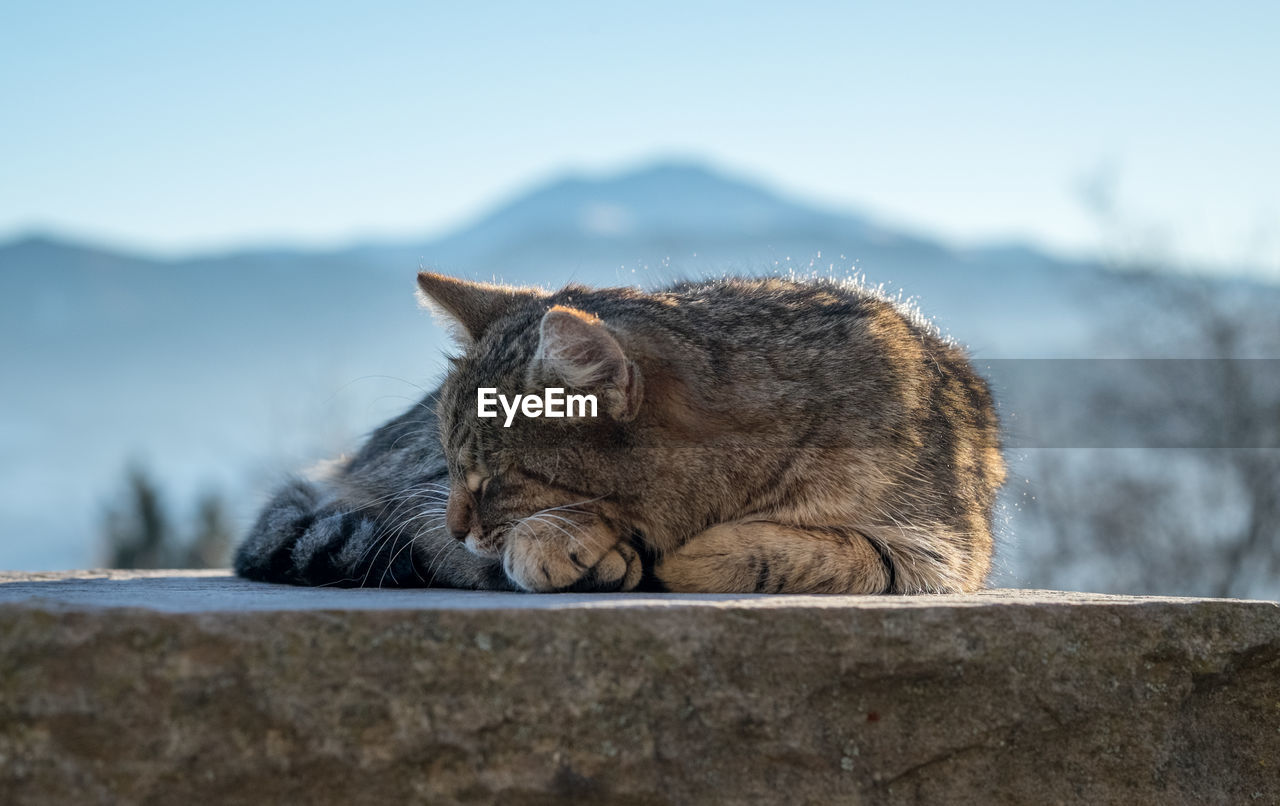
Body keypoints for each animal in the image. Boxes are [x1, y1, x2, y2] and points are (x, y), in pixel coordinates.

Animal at [235, 271, 1003, 593]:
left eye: (495, 479)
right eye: (455, 466)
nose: (459, 519)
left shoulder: (940, 549)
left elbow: (825, 550)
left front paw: (688, 554)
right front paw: (573, 543)